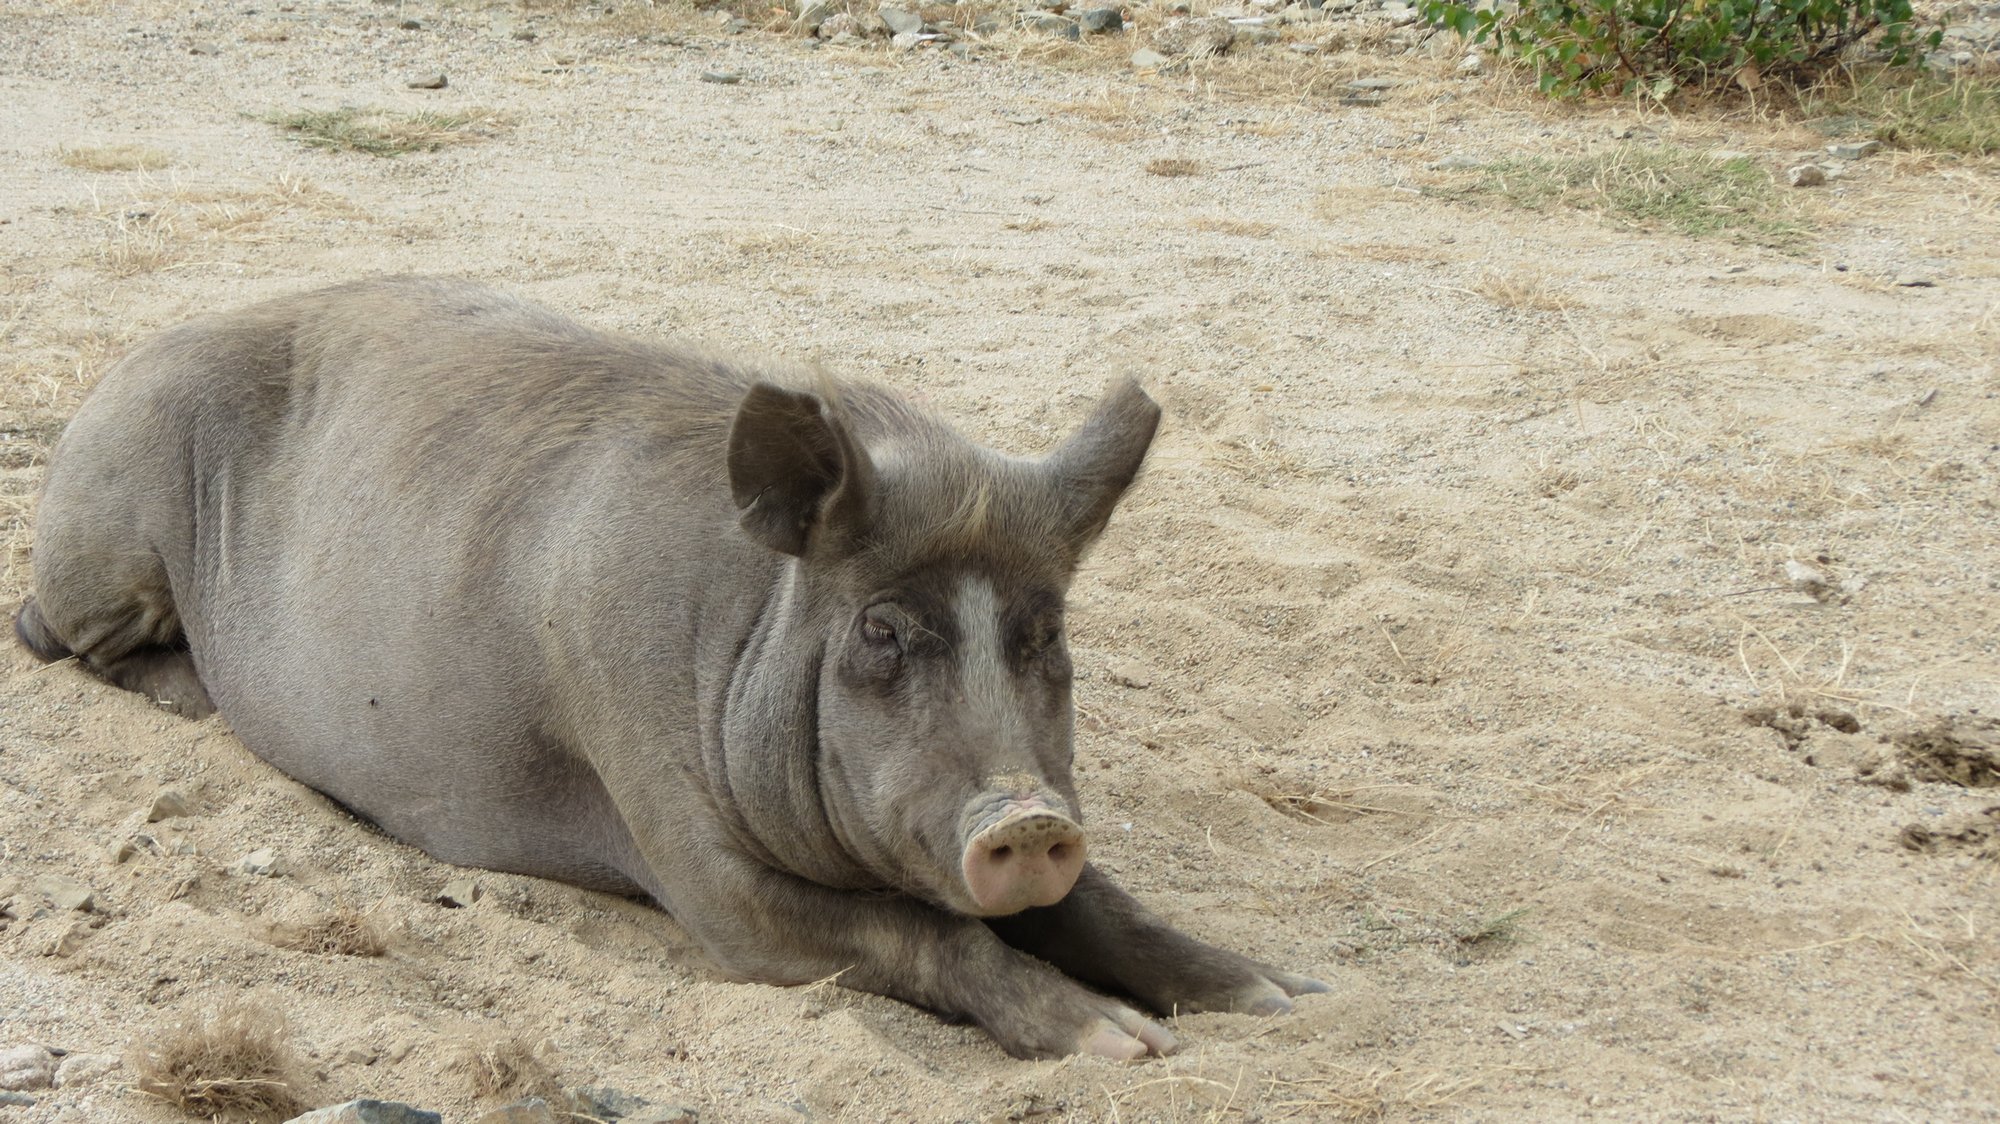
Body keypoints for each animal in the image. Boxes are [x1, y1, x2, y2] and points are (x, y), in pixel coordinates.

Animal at [23, 276, 1328, 1056]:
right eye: (881, 632)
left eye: (1042, 633)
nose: (1026, 819)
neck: (745, 628)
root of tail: (122, 363)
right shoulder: (677, 838)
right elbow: (924, 934)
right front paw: (1125, 1046)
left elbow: (1101, 901)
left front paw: (1278, 996)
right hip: (106, 543)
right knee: (59, 636)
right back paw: (192, 697)